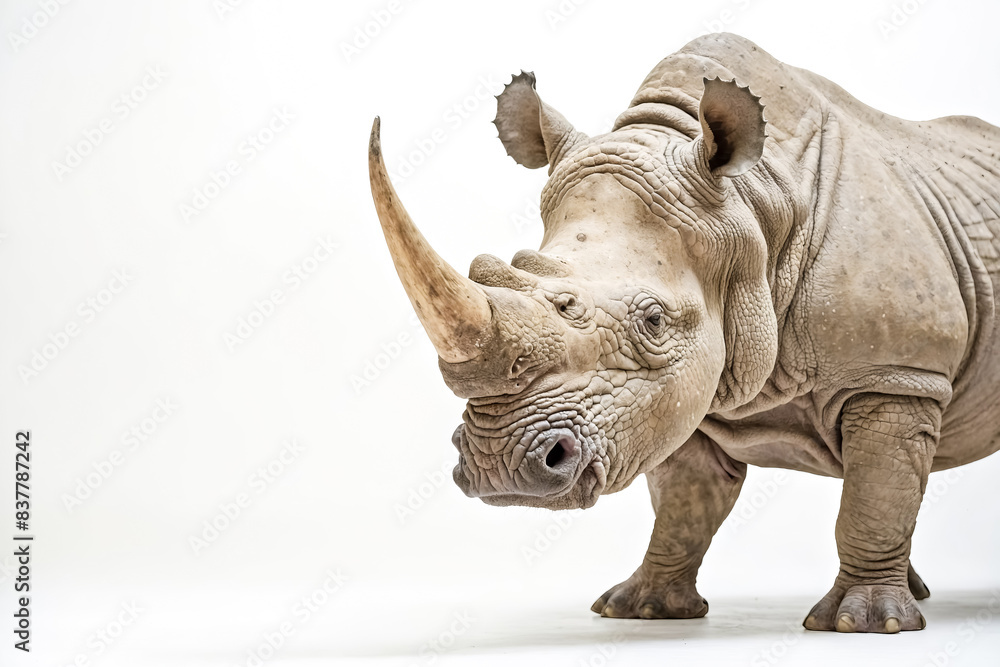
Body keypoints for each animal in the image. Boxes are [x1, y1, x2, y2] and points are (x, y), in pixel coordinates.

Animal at [367, 32, 1000, 633]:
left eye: (652, 320)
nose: (499, 464)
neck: (755, 210)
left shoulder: (895, 371)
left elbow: (873, 495)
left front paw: (862, 624)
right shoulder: (683, 394)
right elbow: (685, 505)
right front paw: (643, 609)